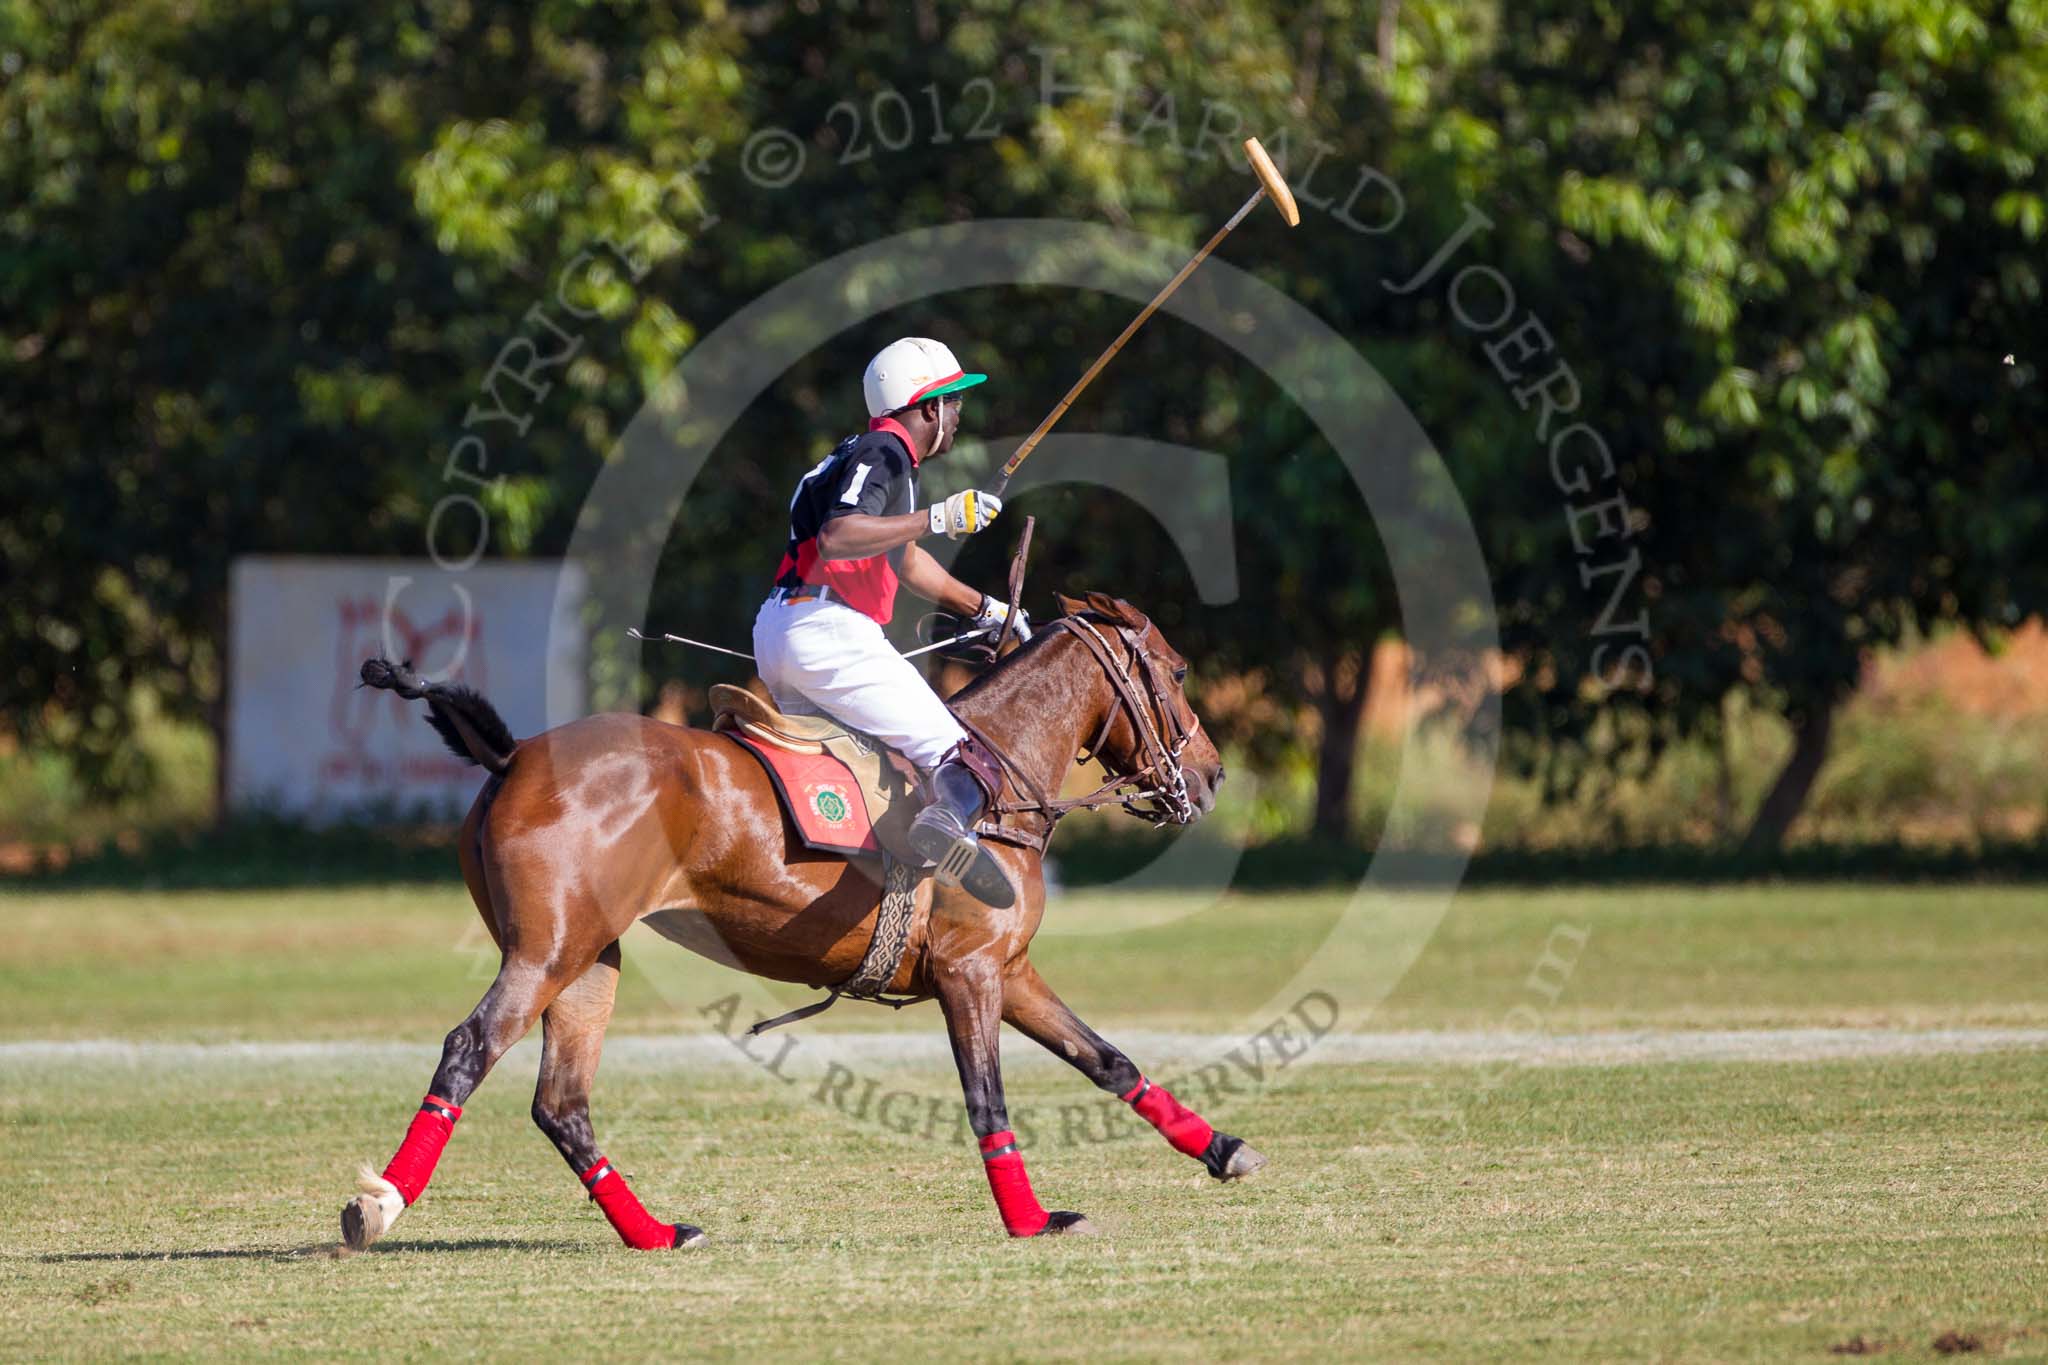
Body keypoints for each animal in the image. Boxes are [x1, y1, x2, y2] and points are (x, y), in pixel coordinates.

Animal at [337, 593, 1261, 1252]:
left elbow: (1108, 1059)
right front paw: (1031, 1220)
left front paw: (1223, 1148)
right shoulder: (969, 971)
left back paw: (656, 1232)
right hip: (547, 950)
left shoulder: (1008, 967)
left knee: (561, 1100)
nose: (1213, 776)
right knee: (469, 1049)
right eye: (1178, 670)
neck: (997, 783)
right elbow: (988, 1098)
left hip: (592, 955)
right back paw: (377, 1203)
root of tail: (516, 753)